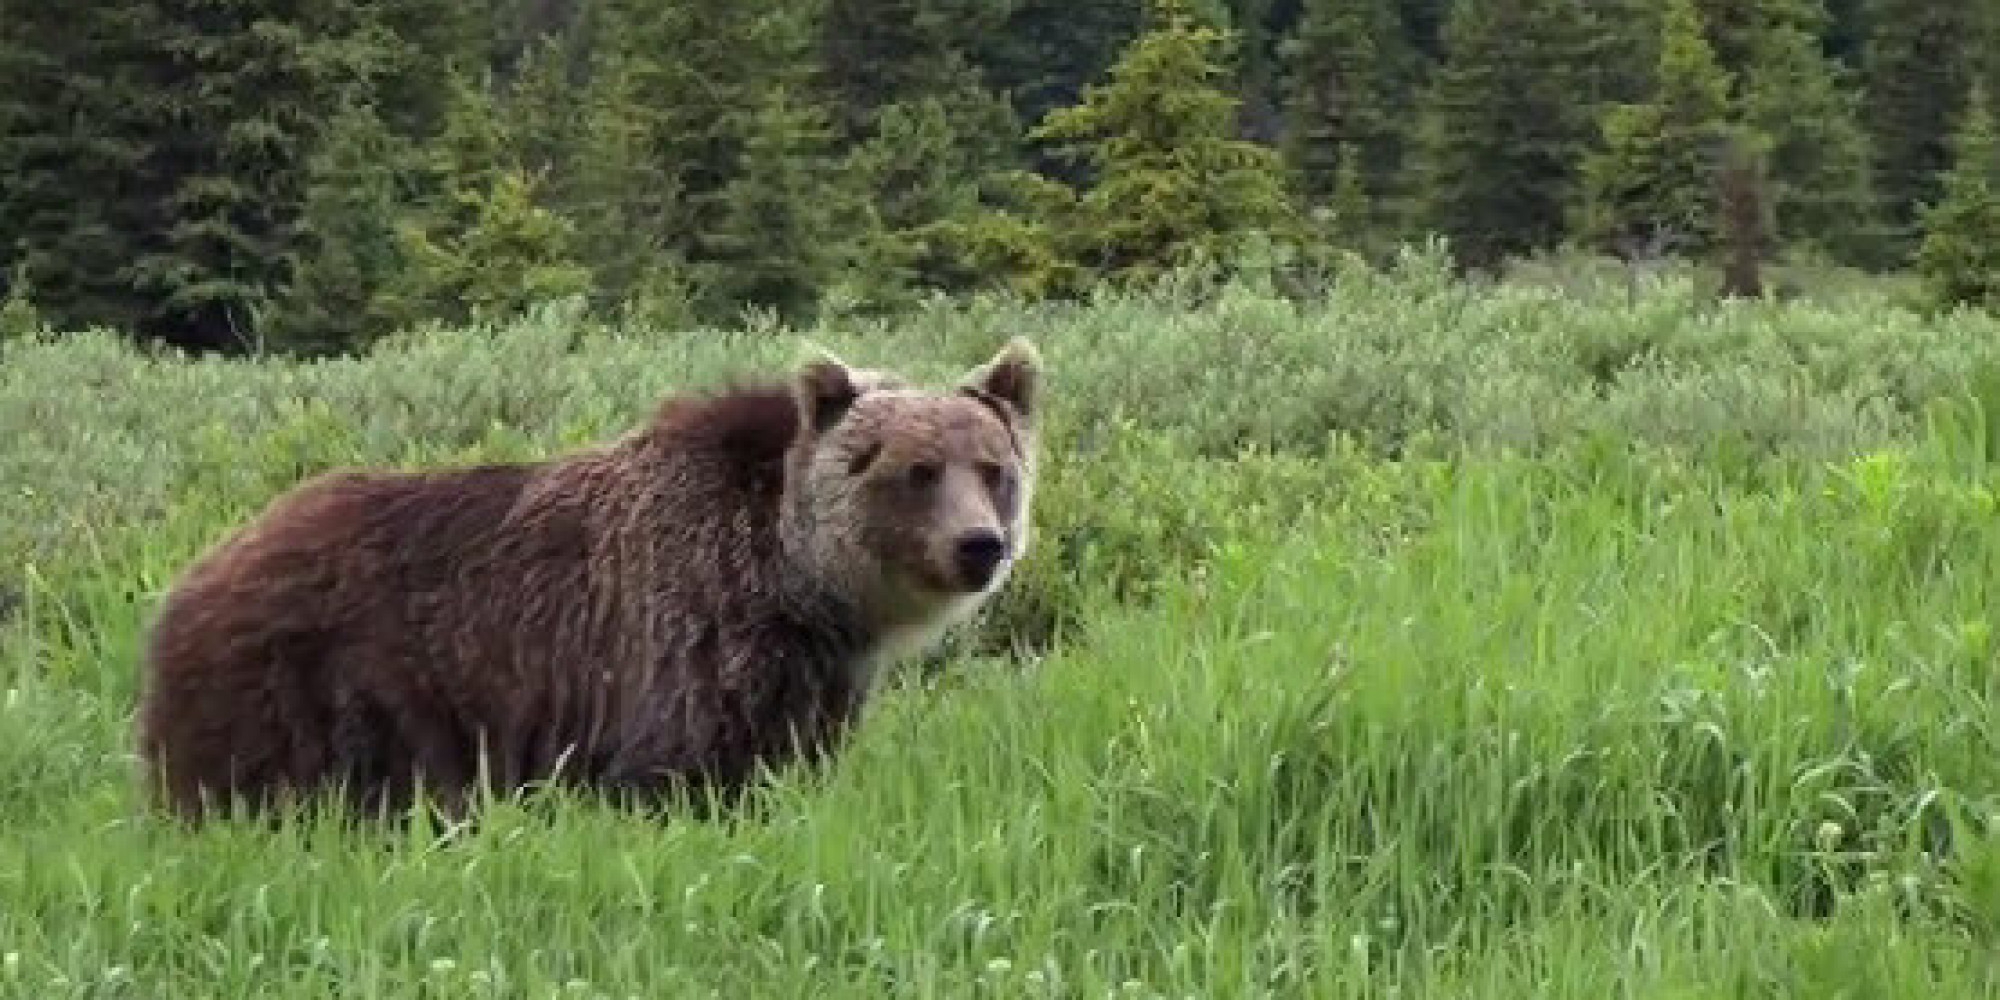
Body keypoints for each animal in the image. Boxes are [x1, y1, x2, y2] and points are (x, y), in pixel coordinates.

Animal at [131, 340, 1048, 824]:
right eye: (915, 470)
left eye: (993, 468)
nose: (979, 545)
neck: (798, 583)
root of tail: (197, 572)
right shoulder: (690, 631)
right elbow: (682, 767)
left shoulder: (809, 673)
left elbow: (788, 755)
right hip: (310, 683)